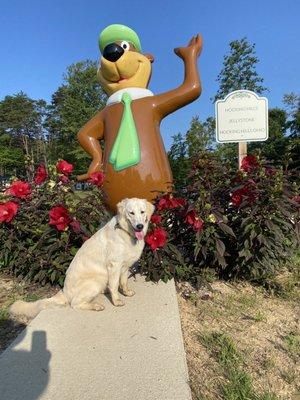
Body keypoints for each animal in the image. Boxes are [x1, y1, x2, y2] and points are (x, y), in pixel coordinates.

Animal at [9, 198, 155, 318]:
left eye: (142, 212)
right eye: (131, 213)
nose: (140, 226)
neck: (126, 232)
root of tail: (64, 291)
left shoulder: (125, 266)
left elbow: (123, 281)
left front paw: (126, 292)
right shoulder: (114, 265)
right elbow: (114, 285)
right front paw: (117, 300)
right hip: (96, 281)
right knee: (75, 303)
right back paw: (96, 306)